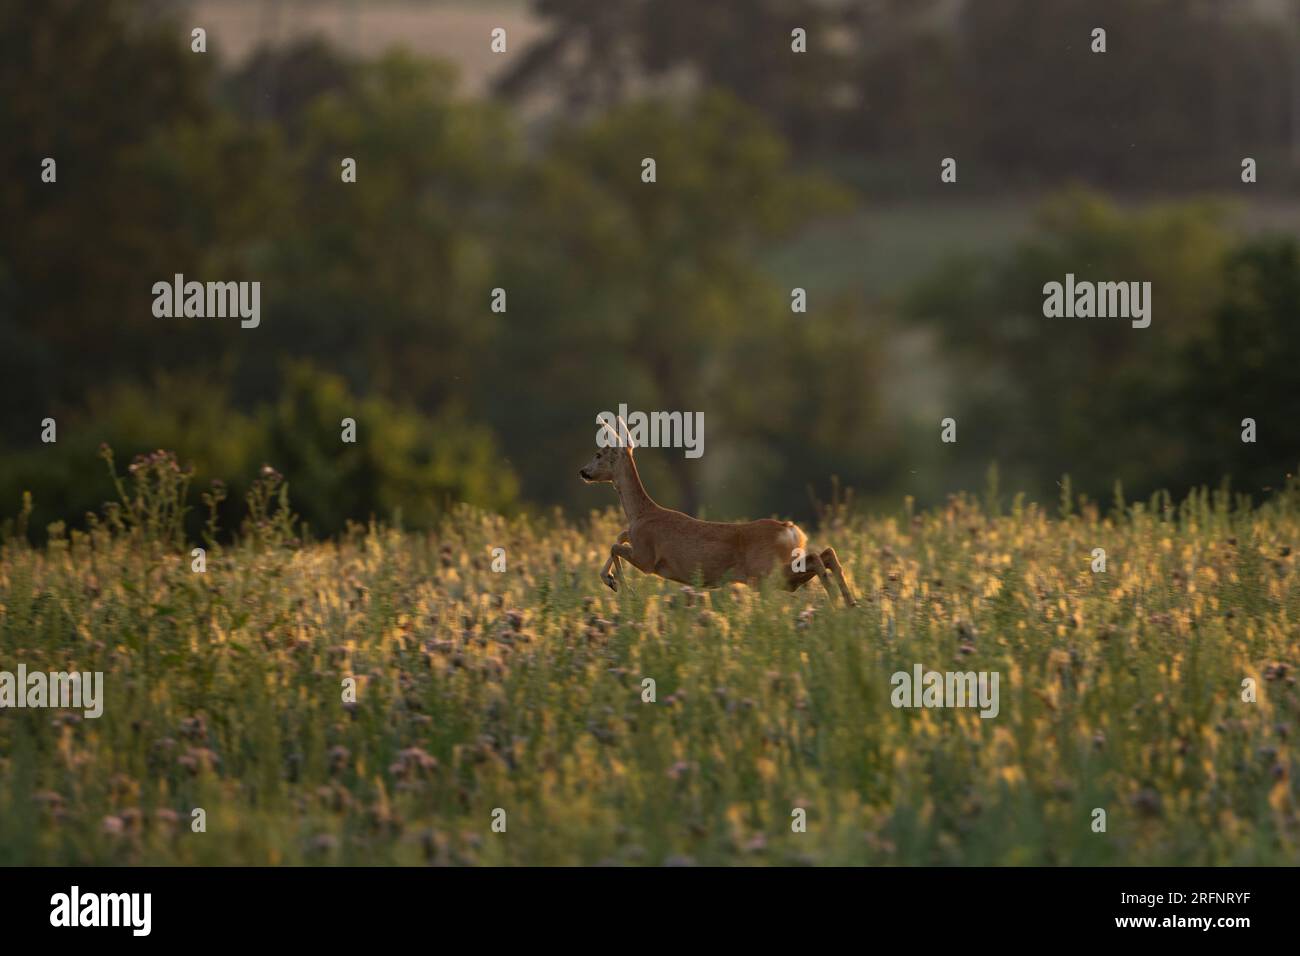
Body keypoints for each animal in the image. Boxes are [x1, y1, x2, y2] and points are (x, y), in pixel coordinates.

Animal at [579, 416, 852, 606]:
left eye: (598, 454)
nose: (583, 471)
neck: (642, 514)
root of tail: (791, 530)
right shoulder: (638, 542)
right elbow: (619, 536)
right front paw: (612, 581)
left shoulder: (647, 558)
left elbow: (615, 545)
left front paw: (621, 587)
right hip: (775, 574)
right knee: (825, 554)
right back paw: (849, 603)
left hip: (765, 573)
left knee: (817, 558)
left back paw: (836, 602)